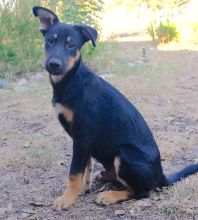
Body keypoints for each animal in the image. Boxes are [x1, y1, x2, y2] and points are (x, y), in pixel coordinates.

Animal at [32, 6, 198, 211]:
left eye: (71, 45)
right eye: (50, 41)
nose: (54, 64)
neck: (71, 81)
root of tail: (161, 176)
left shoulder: (82, 135)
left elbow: (74, 172)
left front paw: (67, 198)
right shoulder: (83, 140)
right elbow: (86, 167)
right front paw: (82, 189)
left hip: (124, 154)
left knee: (143, 192)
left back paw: (110, 195)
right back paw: (106, 176)